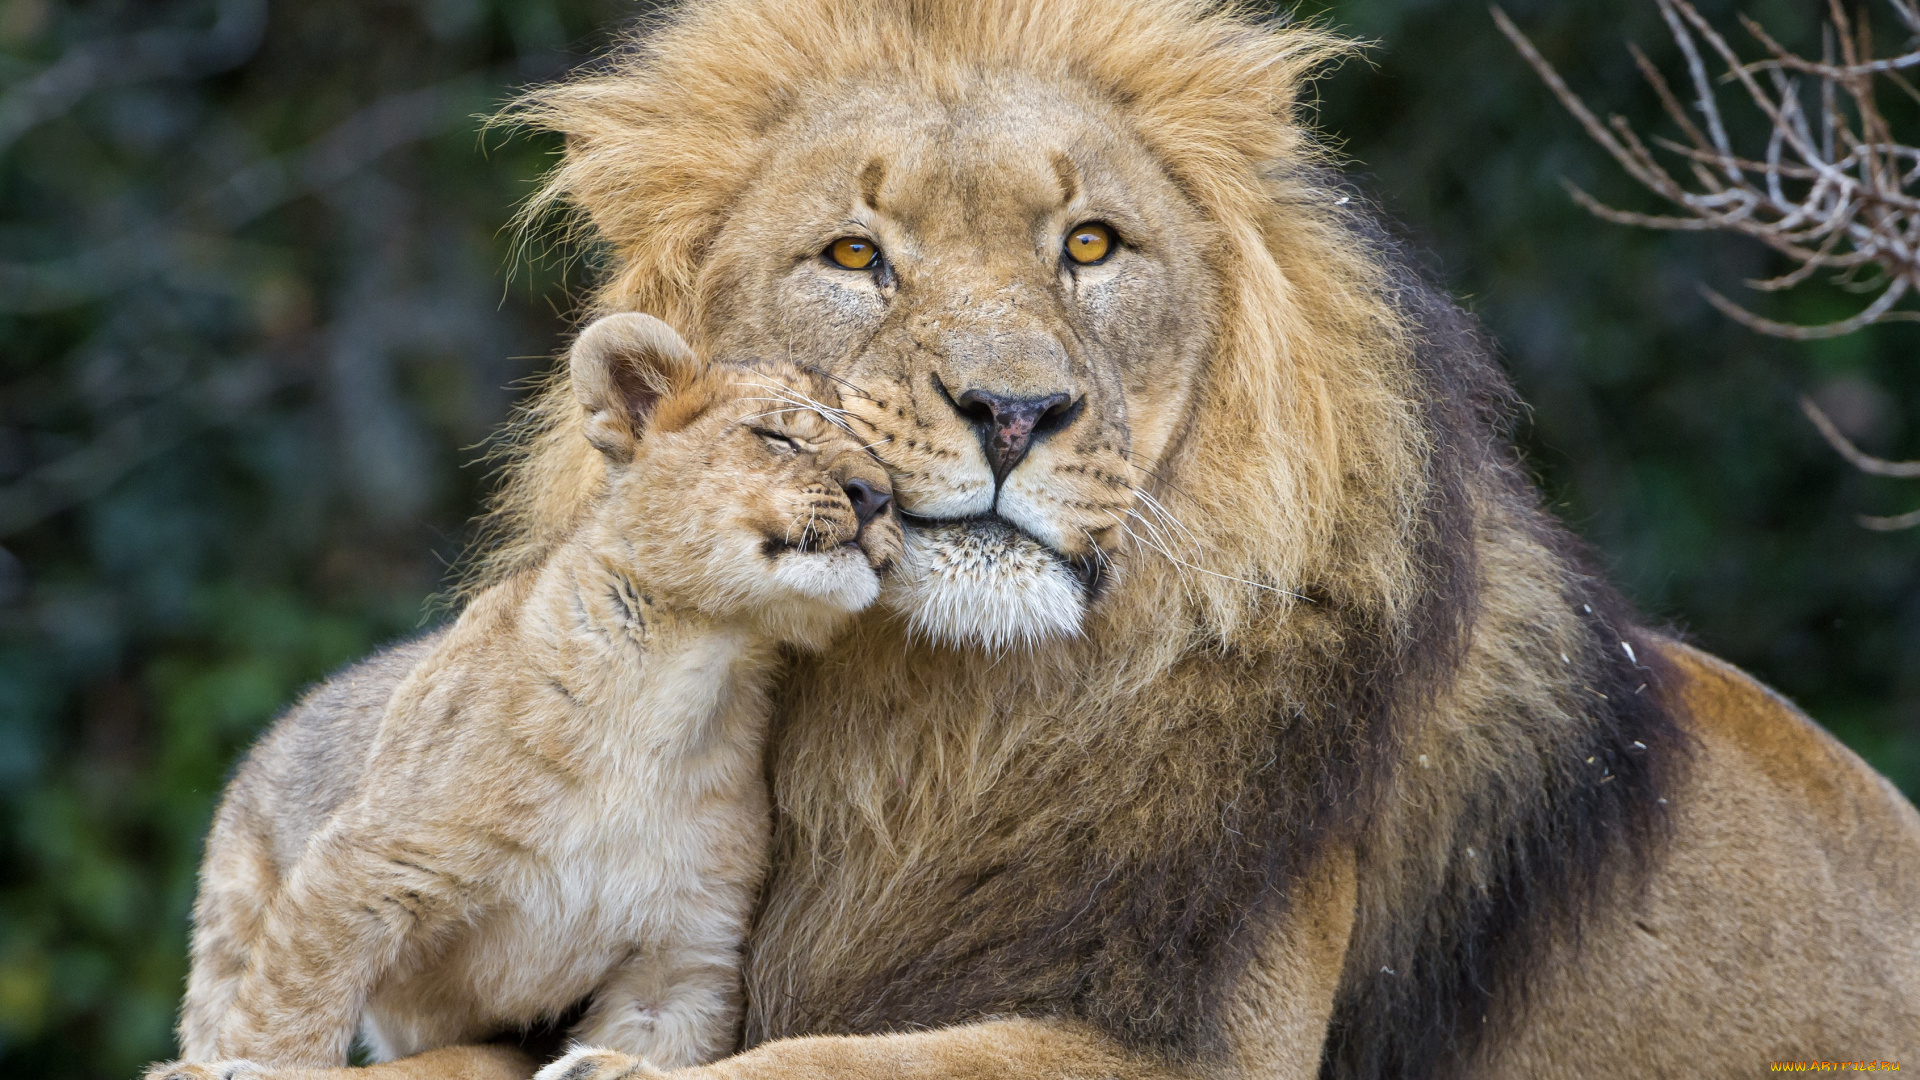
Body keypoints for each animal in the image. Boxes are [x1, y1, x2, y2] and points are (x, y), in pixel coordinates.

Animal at [153, 315, 901, 1078]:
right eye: (779, 436)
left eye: (883, 462)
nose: (877, 497)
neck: (687, 677)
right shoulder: (364, 867)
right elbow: (289, 1011)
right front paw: (259, 1064)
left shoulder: (679, 955)